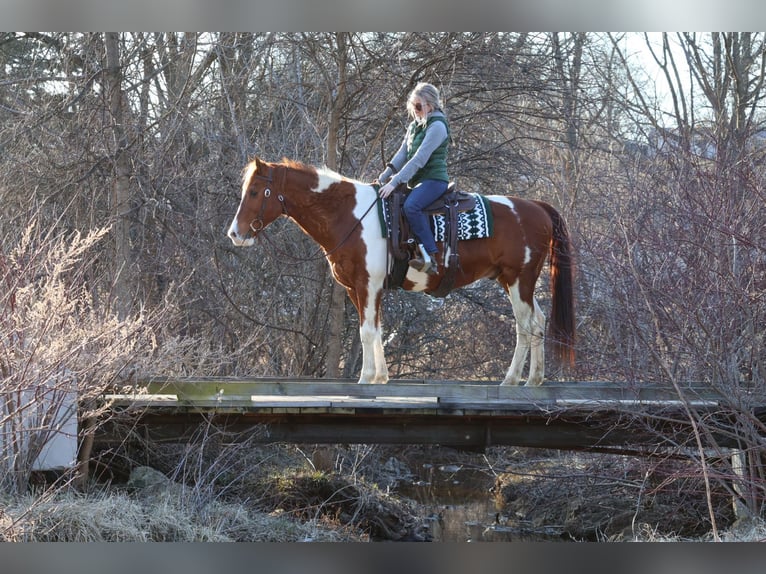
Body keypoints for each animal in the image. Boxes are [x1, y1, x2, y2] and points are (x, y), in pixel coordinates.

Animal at [228, 156, 576, 388]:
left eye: (256, 192)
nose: (235, 233)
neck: (350, 215)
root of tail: (535, 206)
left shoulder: (367, 285)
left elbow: (367, 331)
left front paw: (366, 378)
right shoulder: (359, 288)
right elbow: (375, 329)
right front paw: (380, 376)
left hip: (519, 280)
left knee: (525, 326)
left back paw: (512, 379)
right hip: (515, 282)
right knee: (539, 321)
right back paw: (534, 379)